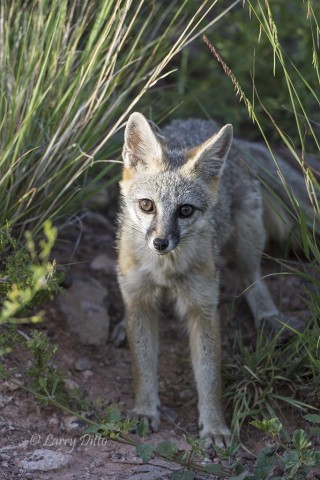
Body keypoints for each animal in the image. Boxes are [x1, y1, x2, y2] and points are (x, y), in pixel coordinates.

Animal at [117, 111, 308, 446]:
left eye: (185, 211)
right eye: (147, 205)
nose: (160, 242)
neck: (165, 270)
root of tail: (197, 121)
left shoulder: (203, 307)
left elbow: (209, 376)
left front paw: (215, 426)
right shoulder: (139, 300)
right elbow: (142, 365)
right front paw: (144, 409)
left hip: (246, 238)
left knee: (252, 276)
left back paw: (268, 315)